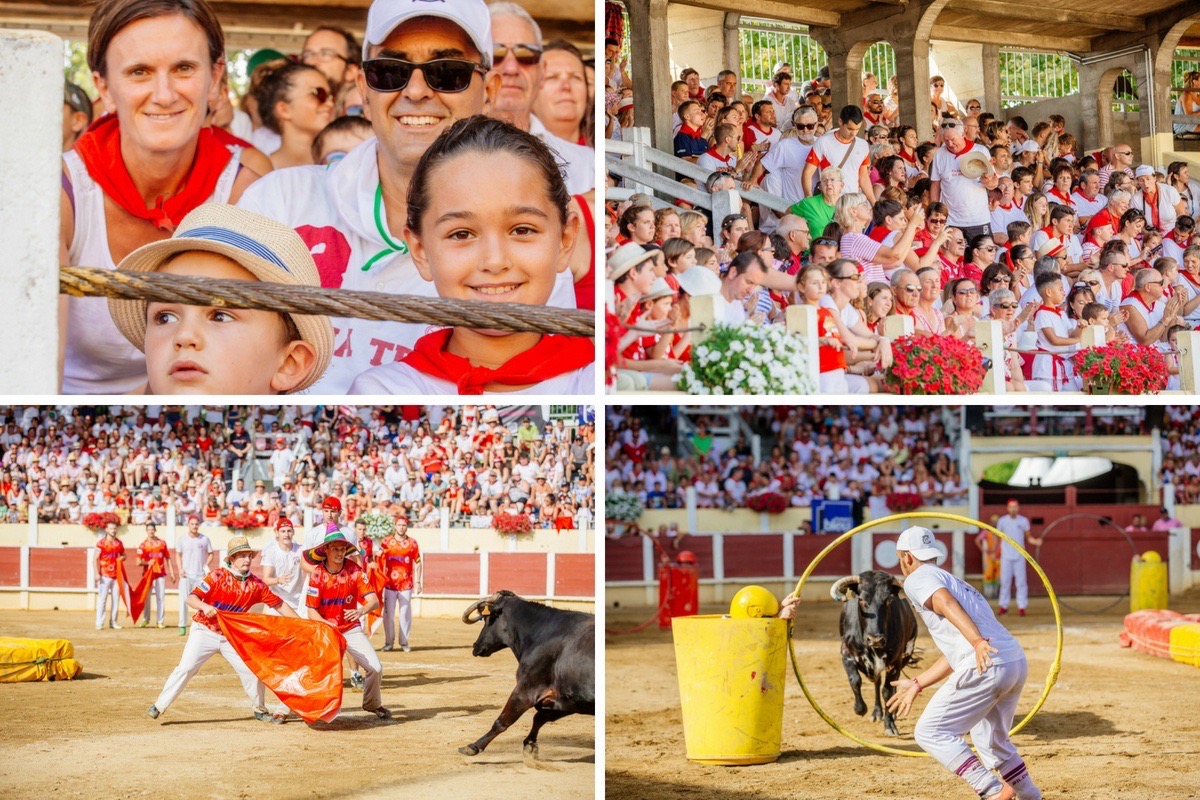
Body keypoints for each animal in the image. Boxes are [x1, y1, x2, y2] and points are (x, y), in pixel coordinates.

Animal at [458, 592, 595, 762]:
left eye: (487, 619)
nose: (475, 646)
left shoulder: (526, 690)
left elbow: (503, 721)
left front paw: (473, 746)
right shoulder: (570, 700)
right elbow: (540, 717)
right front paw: (530, 745)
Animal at [835, 573, 916, 734]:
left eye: (888, 600)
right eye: (861, 599)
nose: (875, 639)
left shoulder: (895, 662)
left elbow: (888, 691)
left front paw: (890, 724)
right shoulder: (846, 653)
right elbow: (855, 680)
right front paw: (860, 709)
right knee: (877, 683)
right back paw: (877, 713)